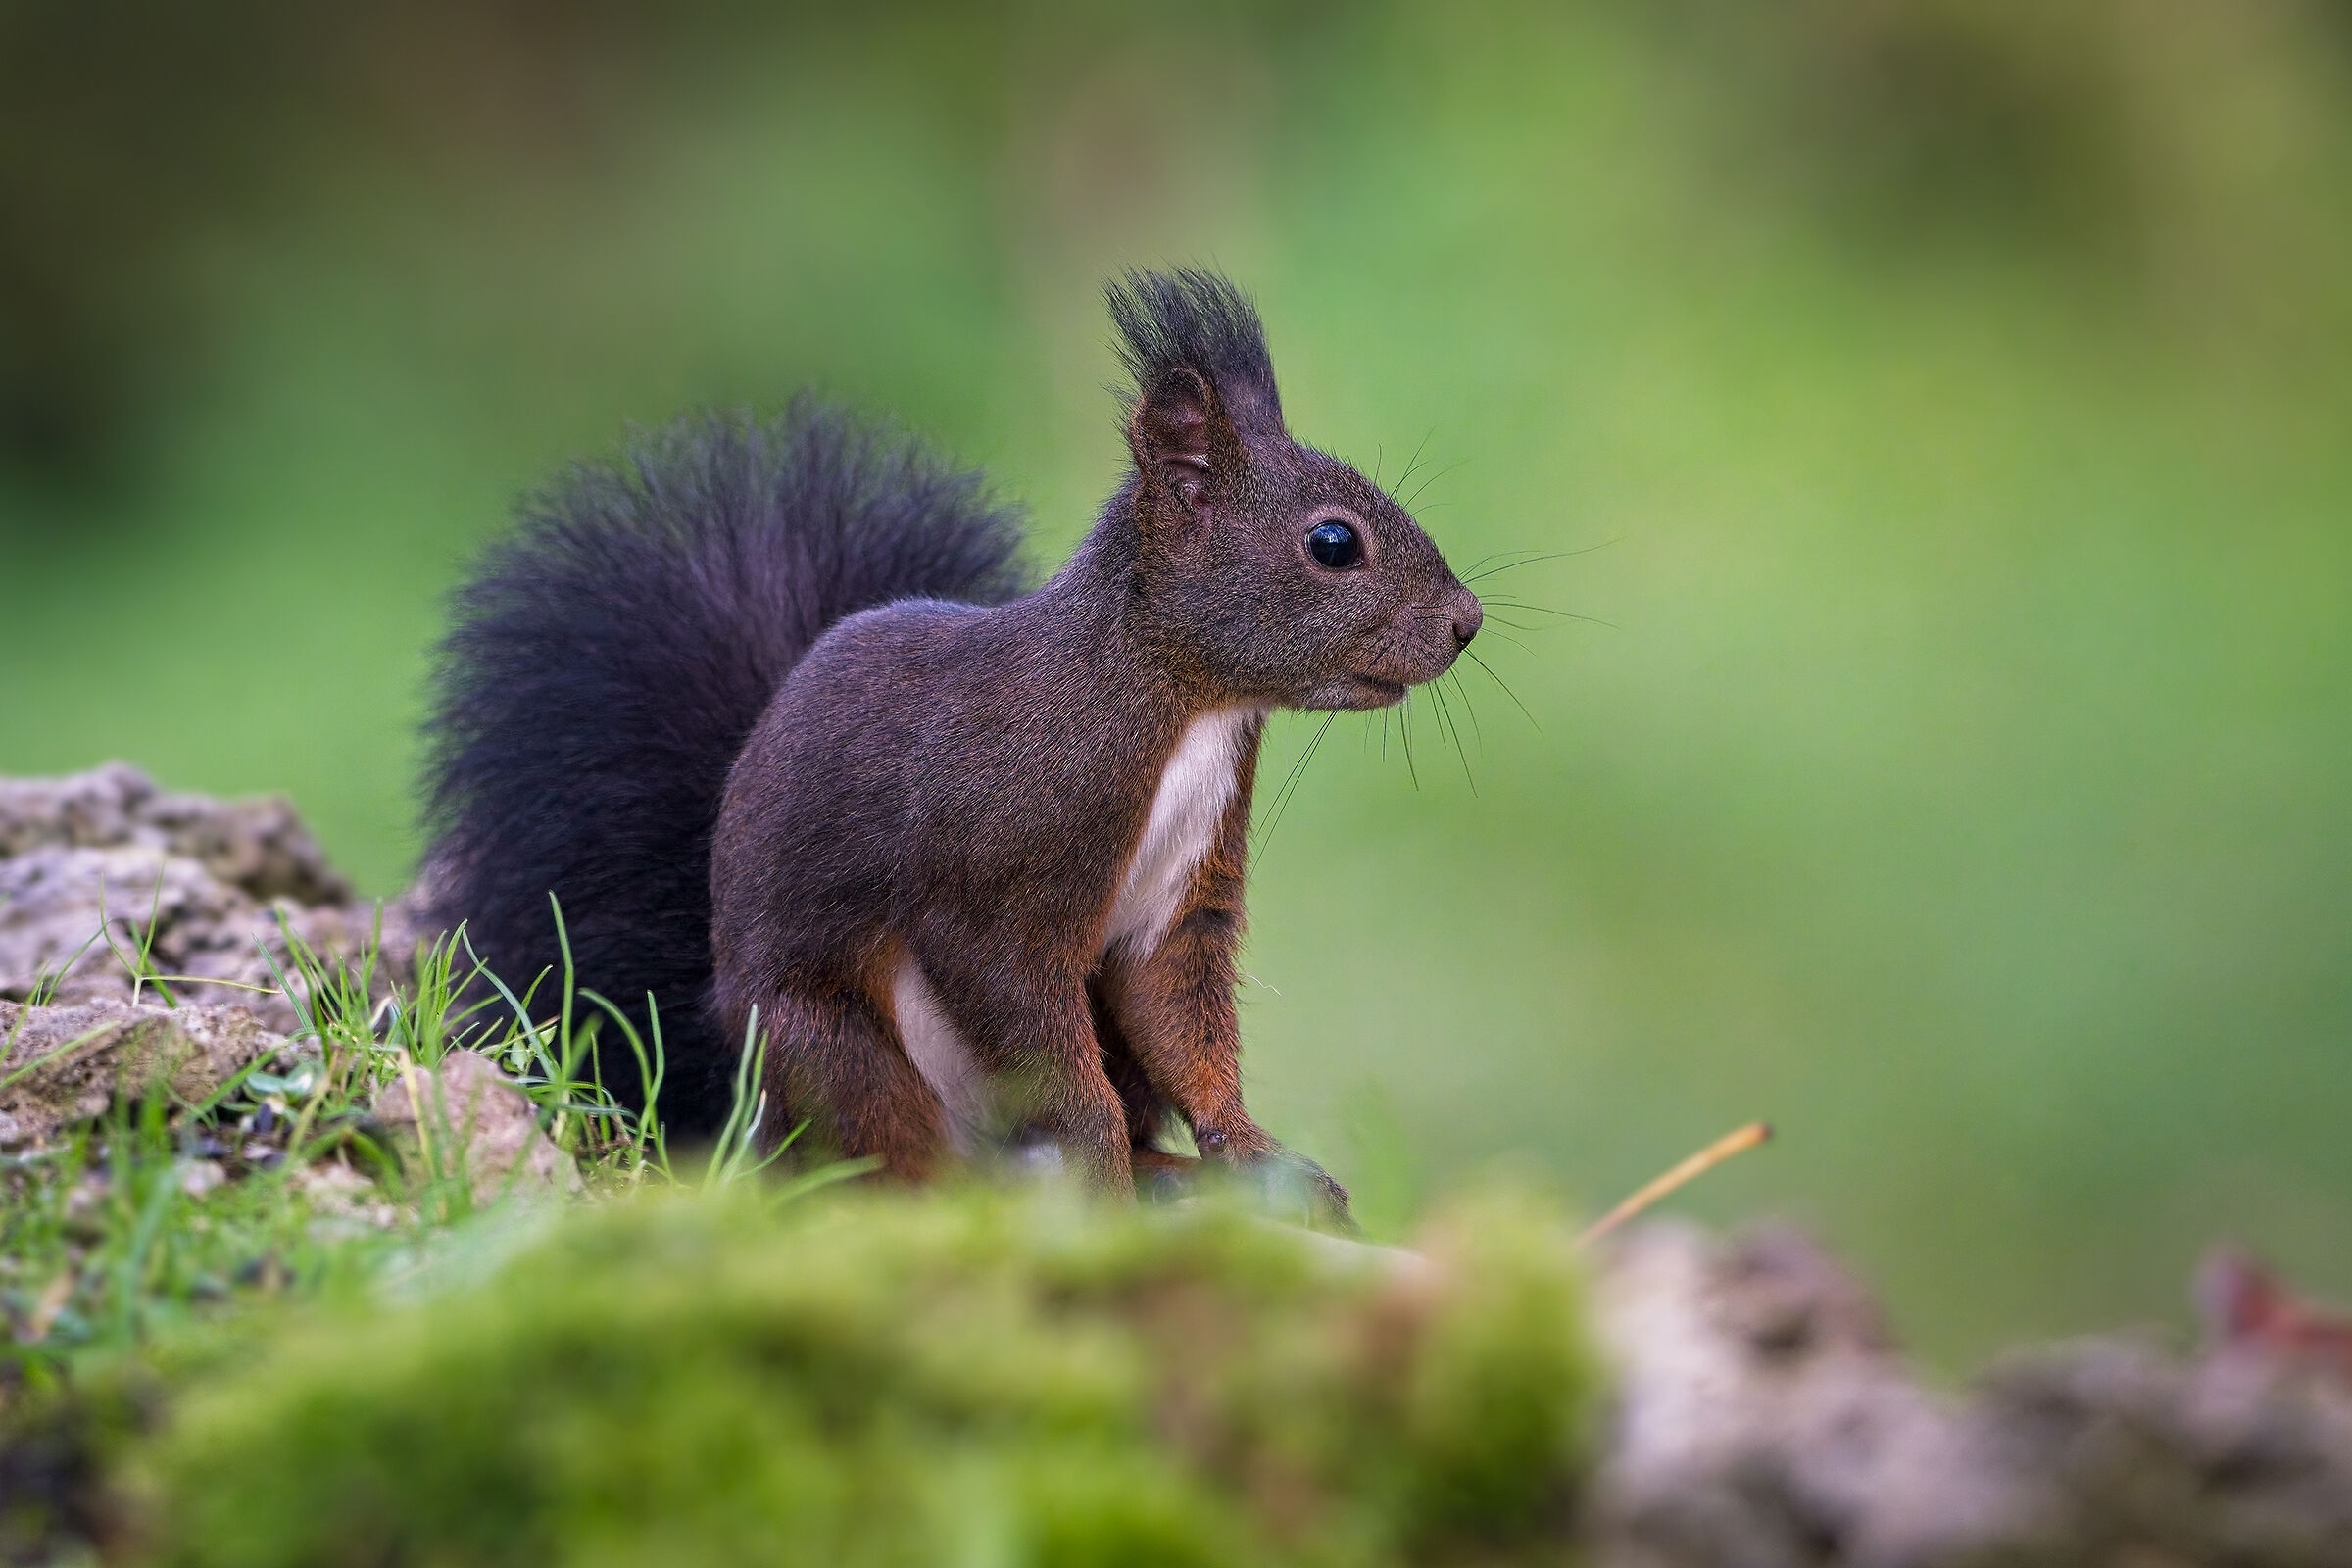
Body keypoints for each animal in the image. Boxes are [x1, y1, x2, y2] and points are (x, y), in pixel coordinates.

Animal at [421, 268, 1481, 1225]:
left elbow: (1183, 1025)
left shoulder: (1183, 897)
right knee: (892, 1161)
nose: (1467, 622)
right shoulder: (995, 878)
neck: (1187, 706)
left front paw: (1261, 1156)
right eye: (1334, 543)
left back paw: (1169, 1176)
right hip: (837, 1054)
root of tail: (753, 1129)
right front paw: (1100, 1164)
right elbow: (1031, 1021)